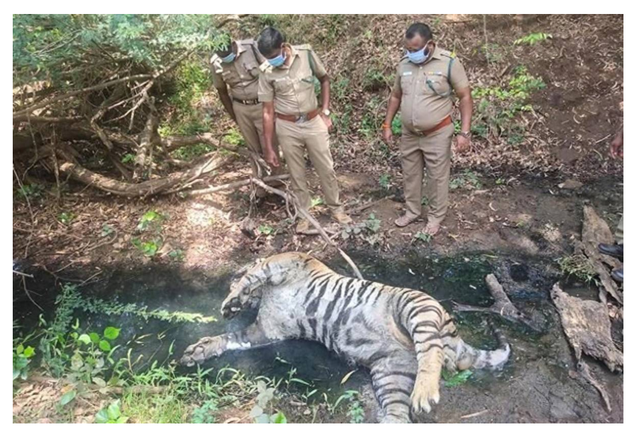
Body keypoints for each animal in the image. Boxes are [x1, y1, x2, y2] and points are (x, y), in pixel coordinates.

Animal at [180, 251, 510, 420]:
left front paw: (232, 301)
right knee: (398, 414)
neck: (266, 296)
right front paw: (199, 350)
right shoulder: (266, 330)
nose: (229, 279)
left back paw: (424, 395)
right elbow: (232, 339)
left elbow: (253, 275)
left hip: (416, 309)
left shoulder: (283, 261)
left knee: (432, 354)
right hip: (391, 373)